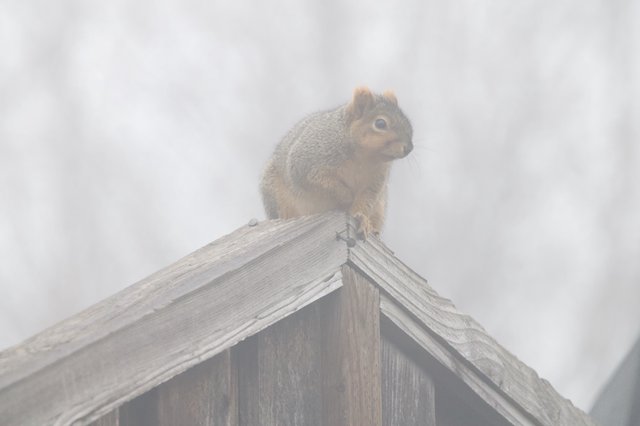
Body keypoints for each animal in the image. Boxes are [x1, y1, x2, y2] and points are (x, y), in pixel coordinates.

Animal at [260, 86, 413, 238]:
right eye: (380, 123)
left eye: (407, 122)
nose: (409, 148)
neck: (363, 157)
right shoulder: (306, 164)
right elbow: (322, 183)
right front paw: (346, 197)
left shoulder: (376, 180)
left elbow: (365, 200)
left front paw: (362, 218)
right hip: (276, 196)